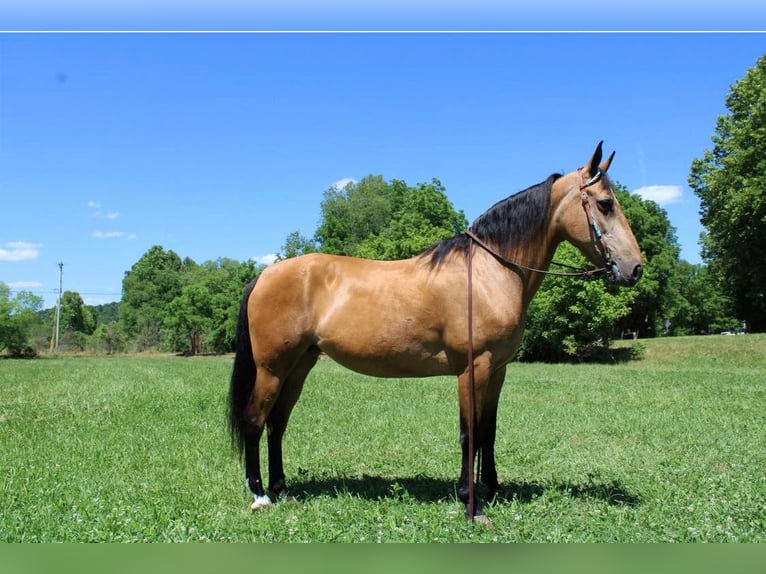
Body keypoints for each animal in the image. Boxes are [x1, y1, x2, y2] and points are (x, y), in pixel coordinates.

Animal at [231, 142, 644, 524]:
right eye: (605, 204)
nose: (635, 268)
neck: (490, 272)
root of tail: (265, 274)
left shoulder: (498, 370)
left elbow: (489, 430)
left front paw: (492, 487)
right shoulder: (473, 368)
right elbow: (469, 432)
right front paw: (471, 503)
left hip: (299, 366)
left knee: (277, 423)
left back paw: (281, 488)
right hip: (272, 369)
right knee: (255, 420)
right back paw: (260, 495)